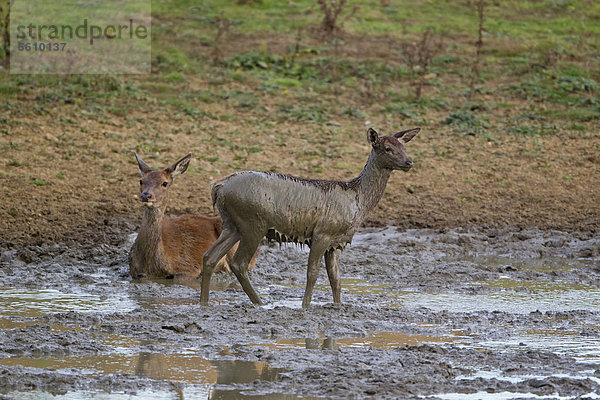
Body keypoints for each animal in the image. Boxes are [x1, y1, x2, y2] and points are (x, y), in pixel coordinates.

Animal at [200, 126, 418, 308]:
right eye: (387, 148)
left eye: (403, 146)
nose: (409, 162)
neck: (358, 201)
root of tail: (218, 187)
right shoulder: (322, 233)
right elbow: (312, 273)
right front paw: (305, 307)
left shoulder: (336, 242)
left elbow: (336, 279)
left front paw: (338, 306)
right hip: (253, 223)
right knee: (239, 264)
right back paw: (260, 303)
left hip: (231, 224)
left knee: (210, 256)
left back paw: (204, 303)